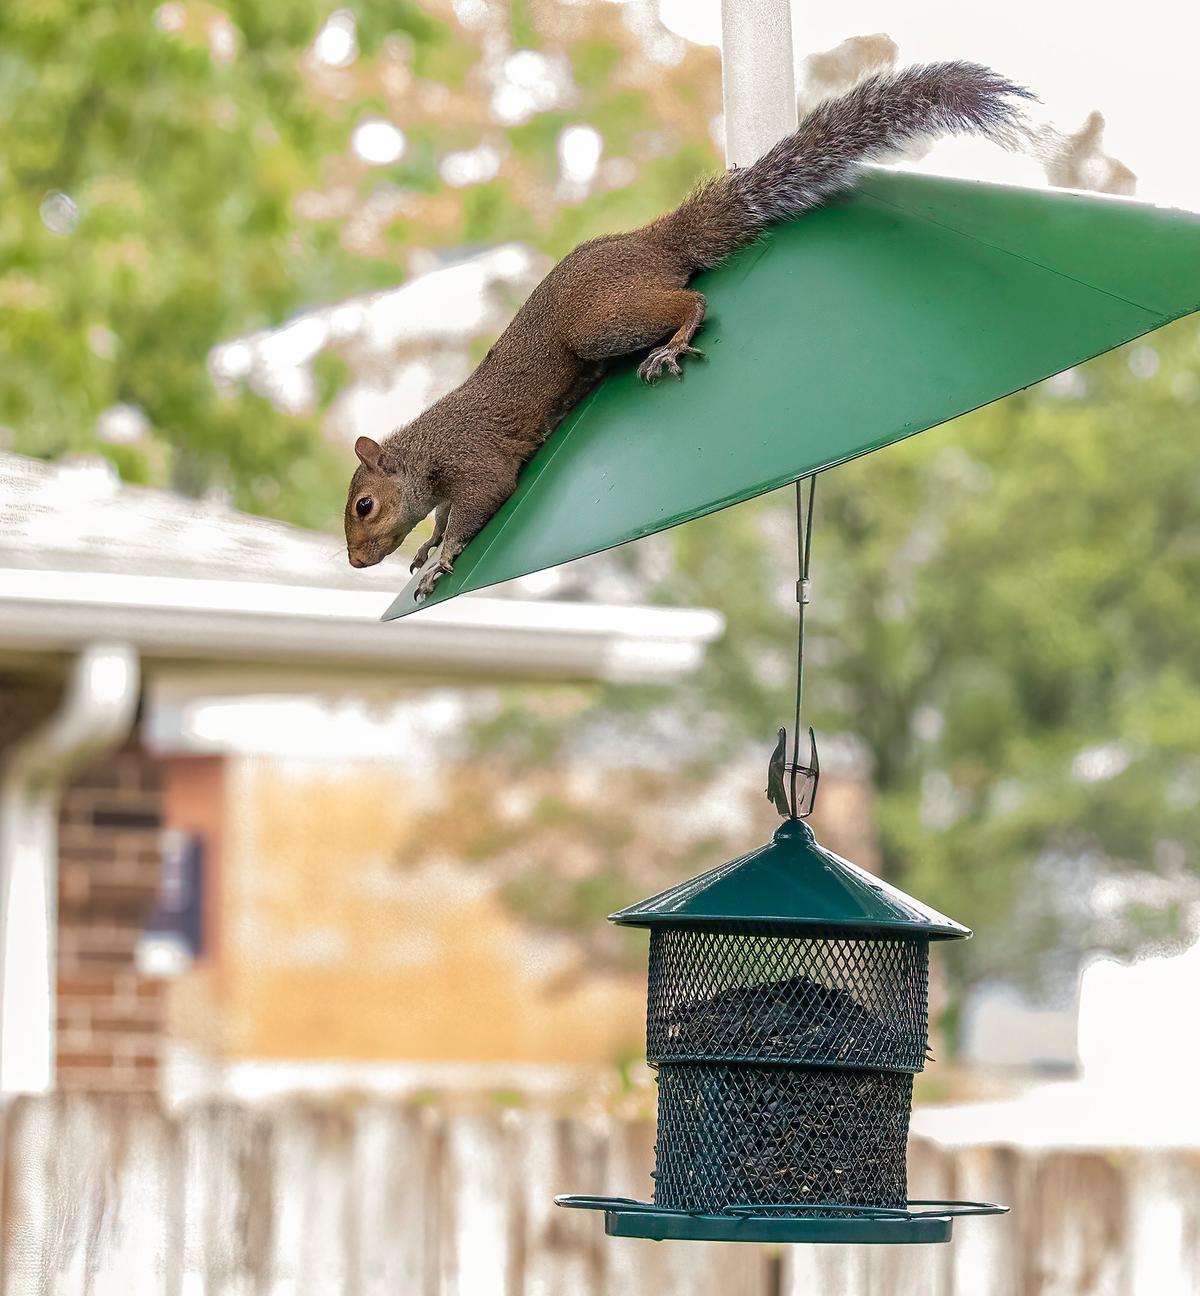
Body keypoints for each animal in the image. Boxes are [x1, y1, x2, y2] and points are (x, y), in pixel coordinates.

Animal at [344, 62, 1032, 597]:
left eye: (364, 506)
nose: (354, 561)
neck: (426, 450)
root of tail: (649, 243)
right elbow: (443, 517)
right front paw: (426, 543)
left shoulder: (475, 460)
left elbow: (481, 502)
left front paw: (442, 559)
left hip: (599, 323)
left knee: (689, 300)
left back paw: (672, 343)